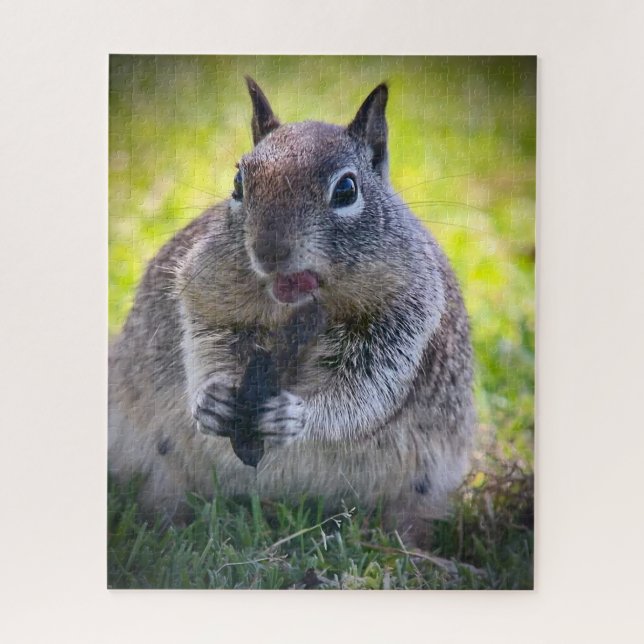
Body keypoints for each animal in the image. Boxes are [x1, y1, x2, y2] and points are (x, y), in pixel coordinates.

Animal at [108, 77, 476, 544]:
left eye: (346, 190)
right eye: (238, 183)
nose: (268, 251)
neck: (299, 308)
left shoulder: (403, 318)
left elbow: (364, 392)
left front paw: (297, 417)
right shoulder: (206, 292)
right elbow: (204, 342)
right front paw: (209, 400)